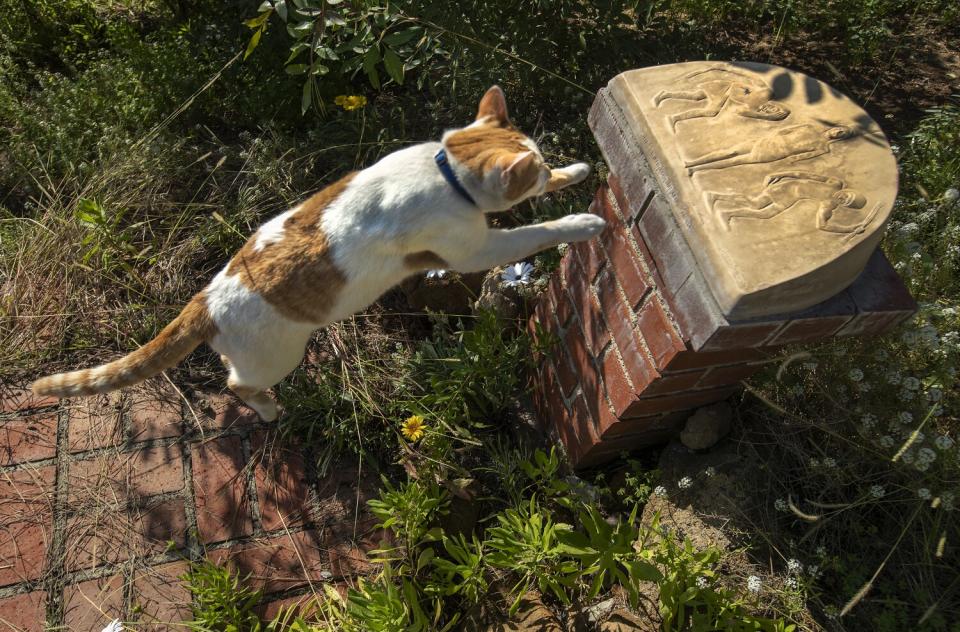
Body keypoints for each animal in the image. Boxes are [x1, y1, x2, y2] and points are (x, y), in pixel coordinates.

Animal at [35, 85, 608, 420]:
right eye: (532, 172)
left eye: (541, 161)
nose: (545, 166)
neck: (444, 169)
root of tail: (205, 299)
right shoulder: (474, 250)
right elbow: (534, 230)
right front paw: (582, 221)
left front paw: (577, 170)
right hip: (276, 358)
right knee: (236, 385)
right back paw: (269, 411)